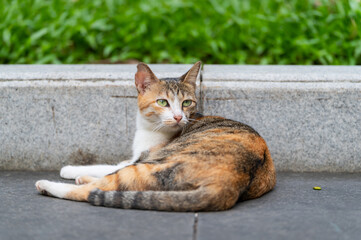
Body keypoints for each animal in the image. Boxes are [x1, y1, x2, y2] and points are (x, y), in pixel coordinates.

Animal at [35, 62, 274, 212]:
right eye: (162, 102)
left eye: (187, 103)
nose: (178, 117)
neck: (149, 129)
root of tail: (228, 185)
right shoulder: (136, 157)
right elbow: (110, 166)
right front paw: (77, 171)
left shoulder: (142, 158)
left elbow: (105, 167)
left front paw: (68, 170)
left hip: (156, 164)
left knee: (96, 189)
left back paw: (48, 184)